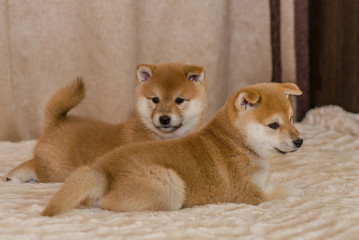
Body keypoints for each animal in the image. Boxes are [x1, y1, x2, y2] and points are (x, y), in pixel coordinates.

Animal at [6, 62, 208, 183]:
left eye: (179, 100)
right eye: (155, 100)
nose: (164, 118)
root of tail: (55, 121)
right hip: (58, 169)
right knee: (36, 166)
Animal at [40, 81, 304, 217]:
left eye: (292, 118)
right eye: (273, 125)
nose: (299, 141)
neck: (237, 142)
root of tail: (102, 172)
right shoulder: (249, 195)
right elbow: (281, 191)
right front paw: (295, 190)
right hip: (171, 185)